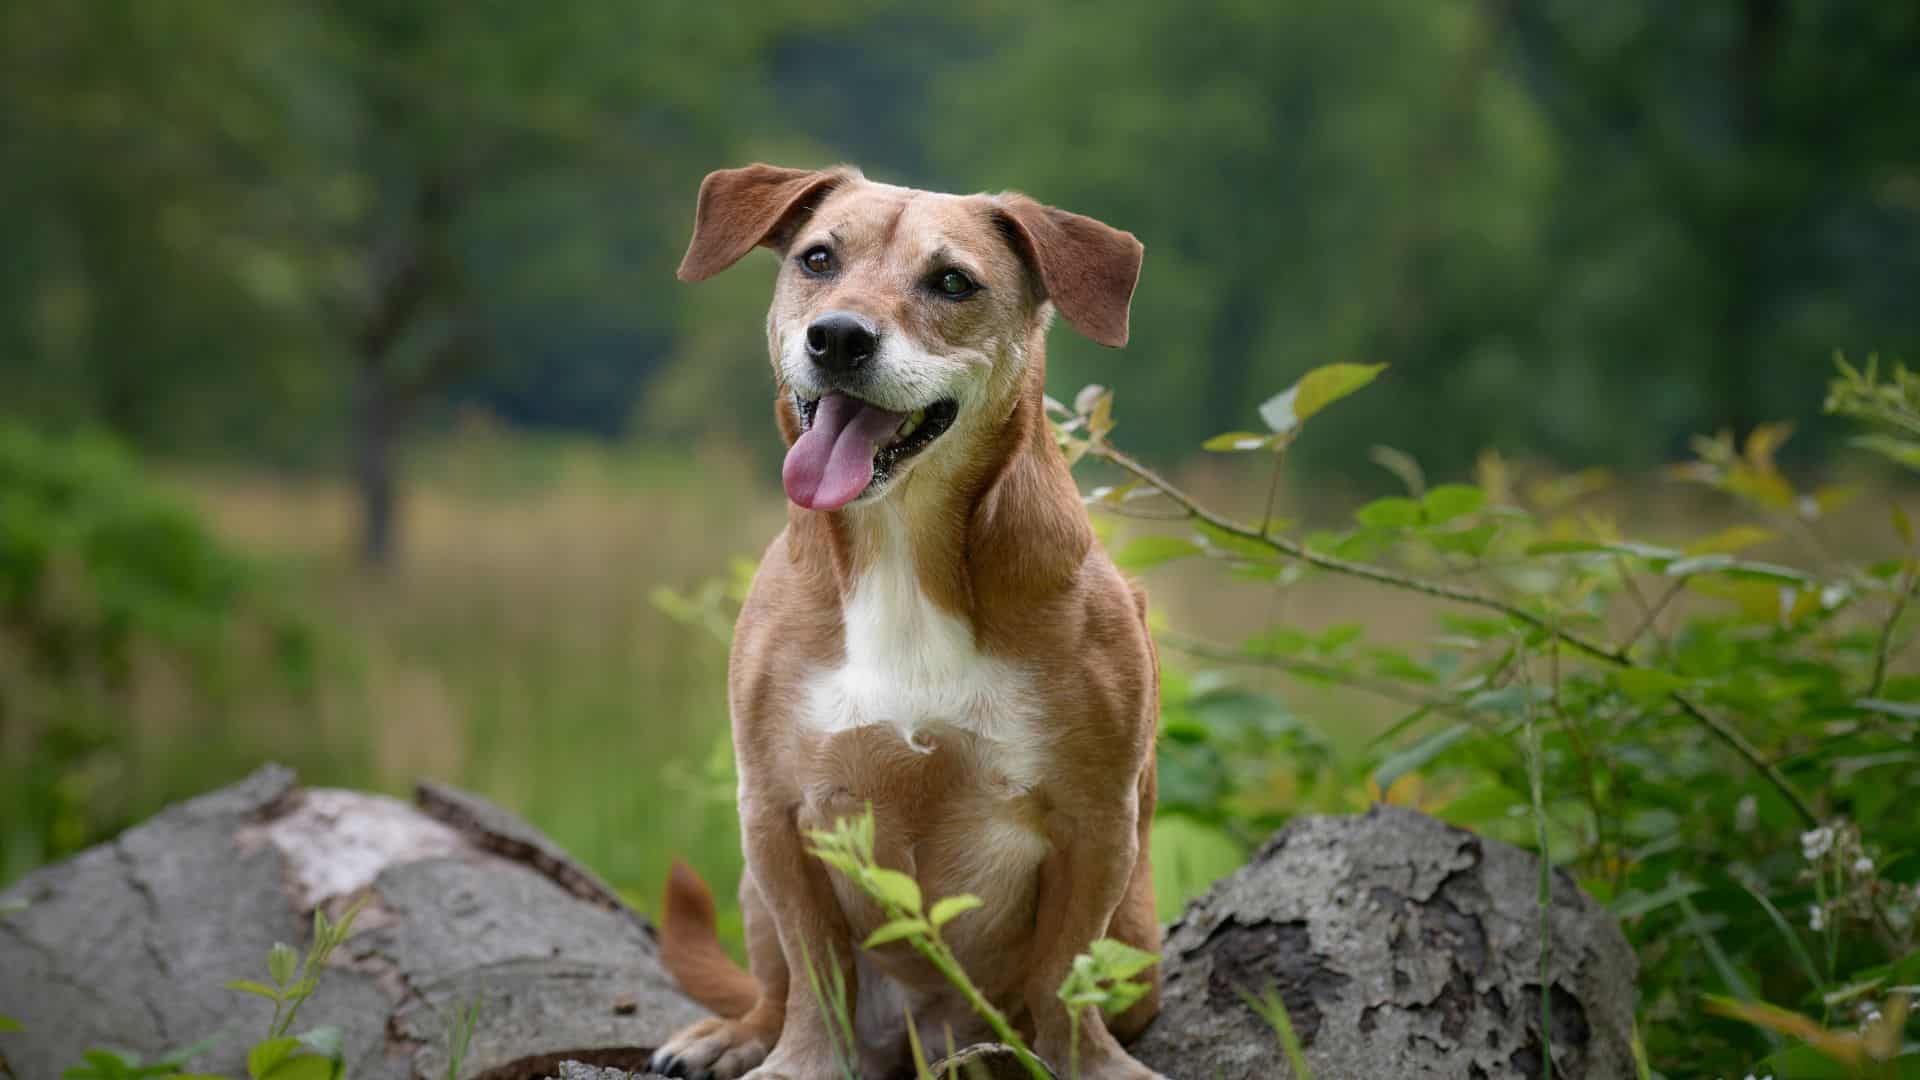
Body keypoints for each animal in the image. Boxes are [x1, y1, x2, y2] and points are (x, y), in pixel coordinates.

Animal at [645, 164, 1159, 1076]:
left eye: (952, 282)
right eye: (818, 259)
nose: (839, 338)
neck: (902, 546)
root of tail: (931, 1035)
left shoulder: (1097, 825)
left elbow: (1066, 975)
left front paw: (1089, 1064)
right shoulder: (778, 814)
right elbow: (816, 971)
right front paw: (800, 1062)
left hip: (1136, 927)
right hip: (752, 886)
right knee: (774, 985)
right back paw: (733, 1035)